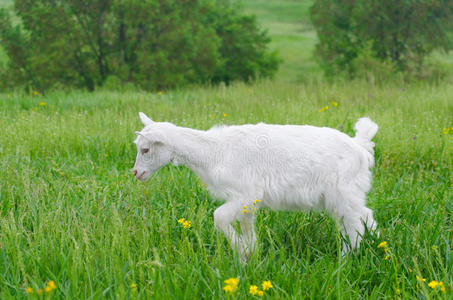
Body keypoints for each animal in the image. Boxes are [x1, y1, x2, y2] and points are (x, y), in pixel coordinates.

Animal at [133, 112, 378, 258]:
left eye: (145, 149)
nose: (136, 173)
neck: (213, 151)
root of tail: (360, 146)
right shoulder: (247, 202)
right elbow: (247, 225)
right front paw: (249, 255)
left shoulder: (245, 194)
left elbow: (218, 217)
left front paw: (241, 250)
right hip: (343, 196)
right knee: (363, 217)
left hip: (344, 192)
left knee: (354, 223)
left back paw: (347, 258)